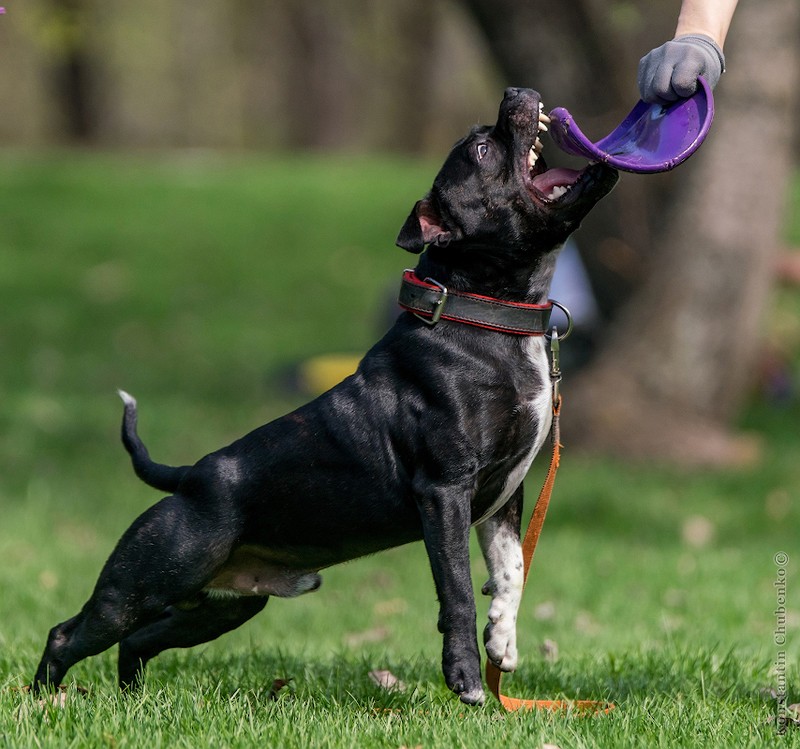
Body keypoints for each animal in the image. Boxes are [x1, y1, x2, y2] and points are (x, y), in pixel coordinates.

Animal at [32, 86, 620, 700]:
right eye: (482, 151)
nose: (515, 92)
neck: (478, 317)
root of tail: (189, 478)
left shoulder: (504, 495)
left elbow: (511, 574)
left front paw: (501, 642)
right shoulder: (445, 492)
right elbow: (457, 589)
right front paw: (464, 677)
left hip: (222, 606)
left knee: (137, 642)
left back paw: (132, 698)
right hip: (143, 585)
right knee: (68, 633)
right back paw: (45, 702)